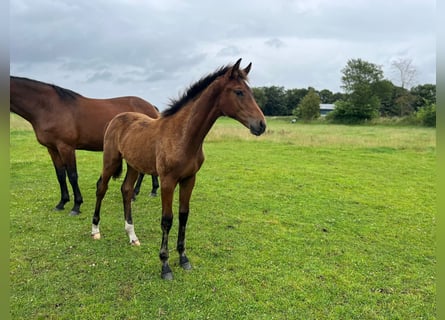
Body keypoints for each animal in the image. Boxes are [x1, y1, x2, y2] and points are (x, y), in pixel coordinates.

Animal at [9, 75, 160, 215]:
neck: (49, 107)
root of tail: (151, 106)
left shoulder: (66, 147)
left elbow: (72, 175)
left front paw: (76, 206)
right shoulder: (52, 149)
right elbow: (60, 175)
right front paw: (61, 203)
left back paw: (147, 191)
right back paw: (141, 192)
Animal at [90, 58, 264, 280]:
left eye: (250, 92)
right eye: (239, 92)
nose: (261, 125)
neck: (183, 136)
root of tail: (118, 117)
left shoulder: (189, 179)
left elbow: (183, 215)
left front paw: (183, 258)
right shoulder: (167, 181)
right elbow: (167, 220)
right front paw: (165, 265)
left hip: (134, 165)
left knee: (126, 190)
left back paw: (132, 235)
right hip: (110, 160)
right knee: (101, 187)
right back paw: (95, 230)